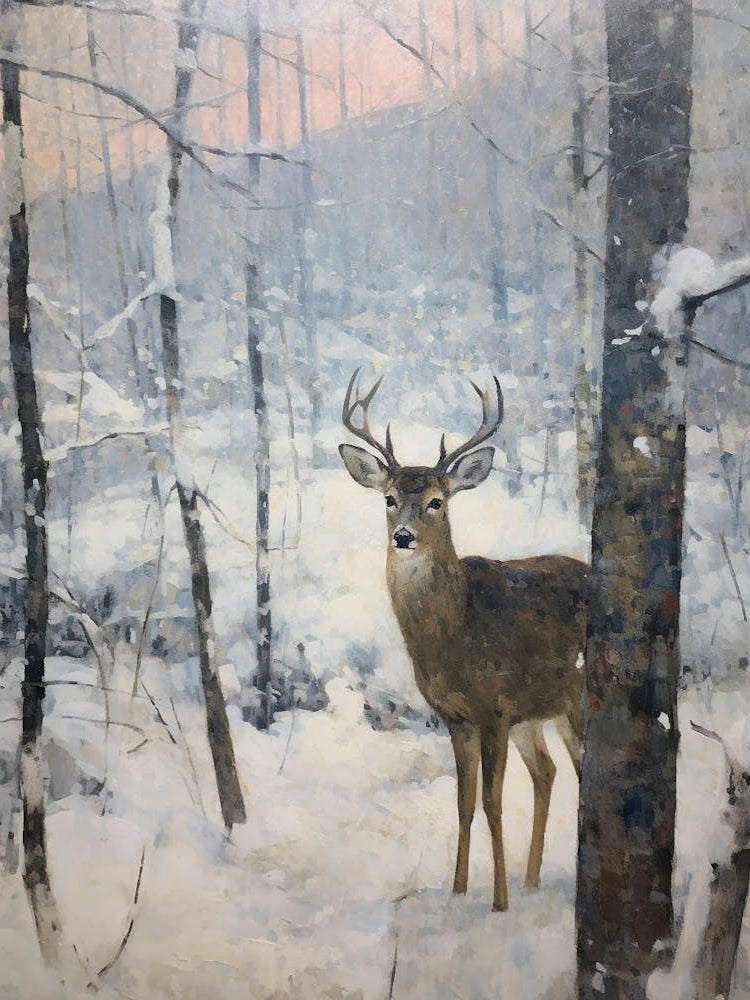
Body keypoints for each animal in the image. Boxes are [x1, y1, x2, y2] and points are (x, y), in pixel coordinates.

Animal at [339, 370, 587, 912]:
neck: (455, 635)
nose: (403, 536)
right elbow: (463, 803)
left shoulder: (494, 708)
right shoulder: (457, 717)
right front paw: (457, 892)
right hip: (537, 714)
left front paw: (498, 903)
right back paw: (532, 880)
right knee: (549, 772)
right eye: (389, 499)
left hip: (575, 701)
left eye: (437, 500)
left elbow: (492, 803)